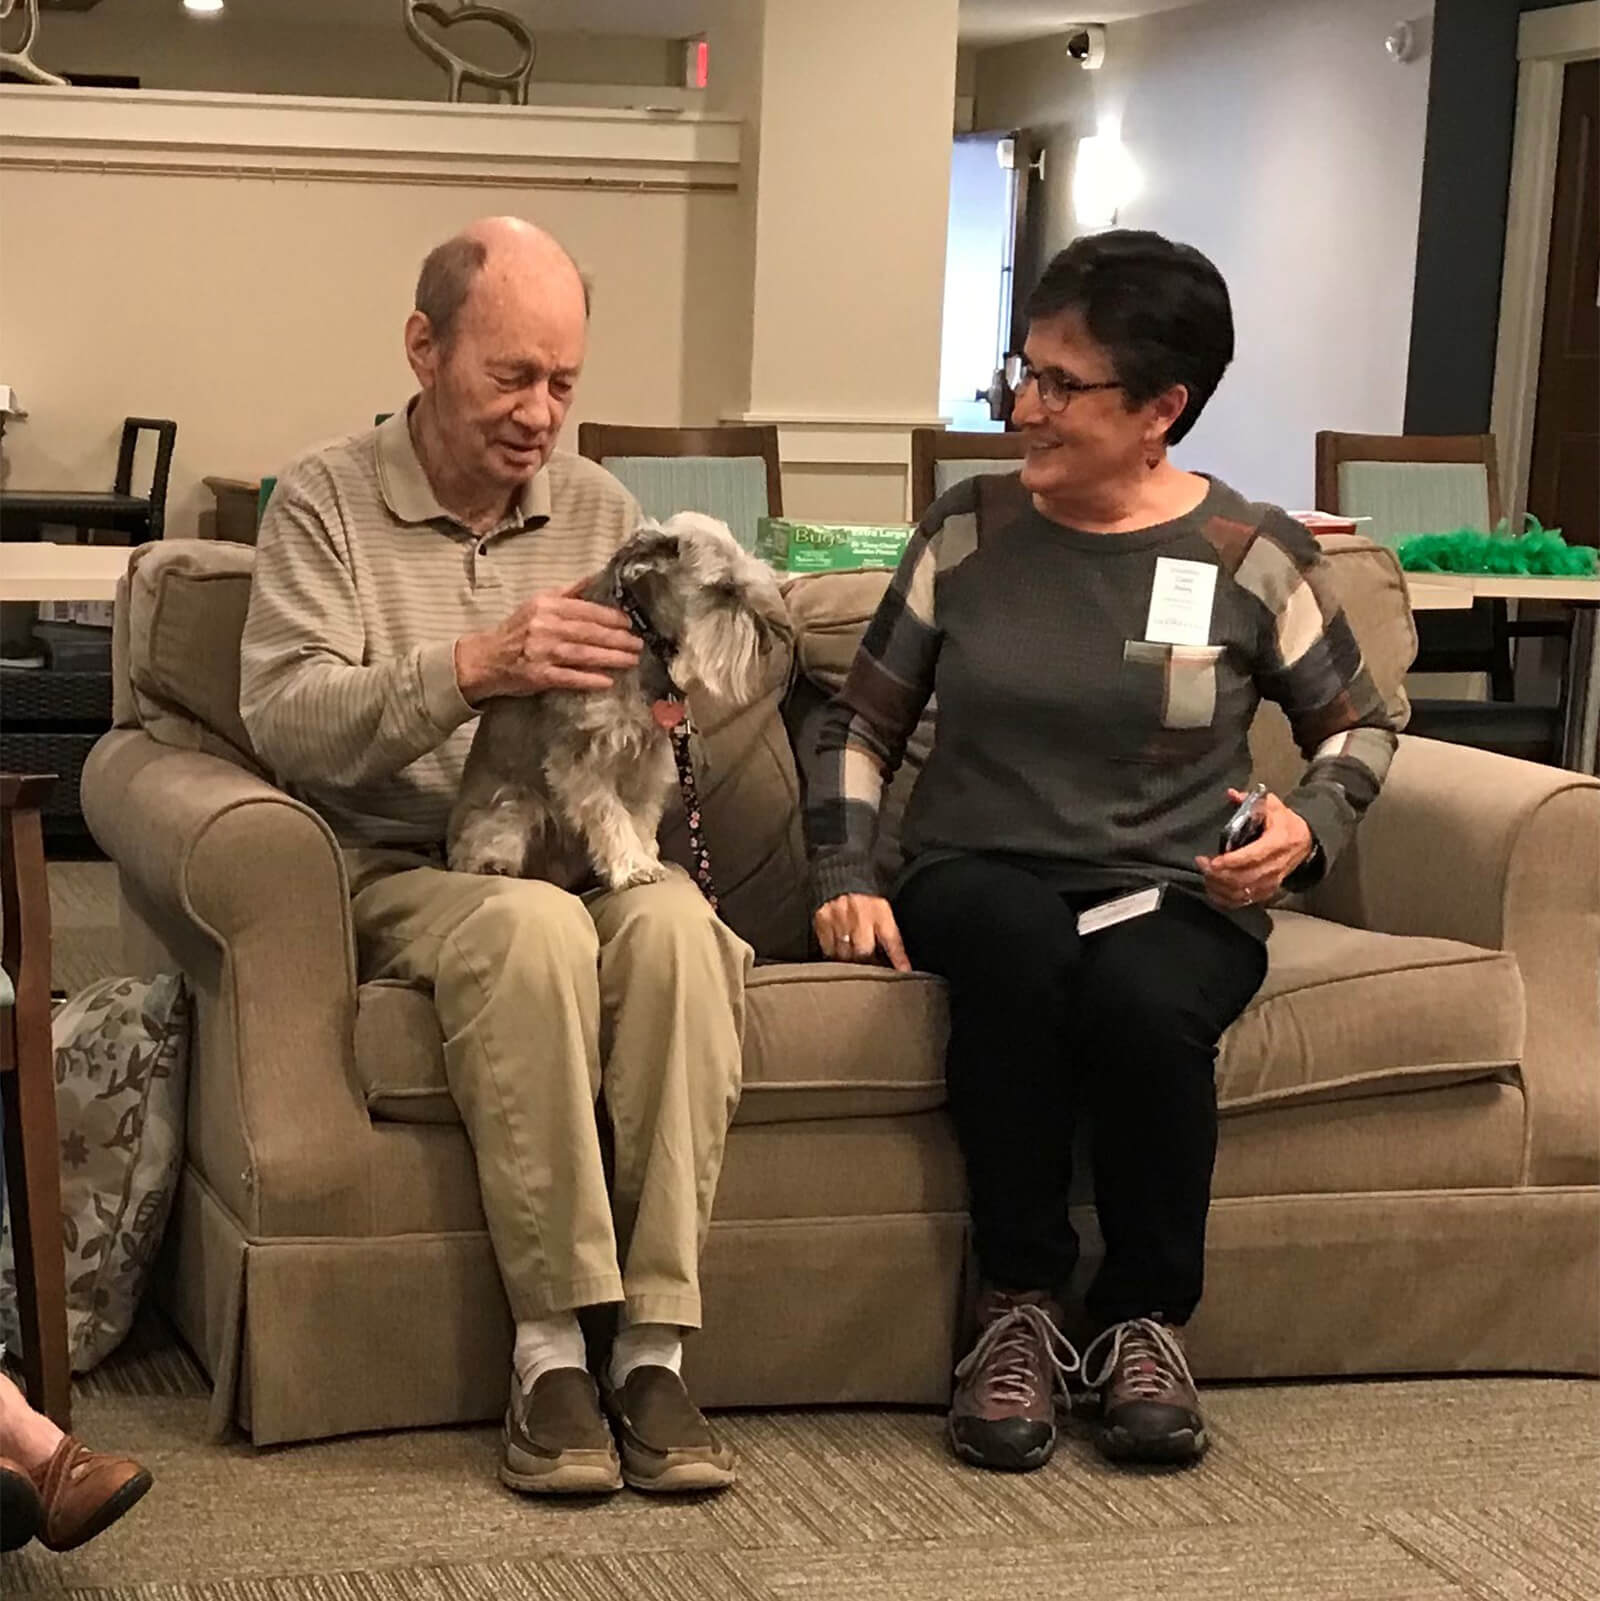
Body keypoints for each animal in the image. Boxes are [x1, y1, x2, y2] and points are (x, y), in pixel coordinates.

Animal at [448, 509, 784, 890]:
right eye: (725, 588)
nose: (768, 643)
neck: (644, 638)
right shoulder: (581, 756)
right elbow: (608, 812)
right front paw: (633, 865)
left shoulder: (651, 758)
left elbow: (641, 815)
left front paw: (647, 856)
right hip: (514, 806)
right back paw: (494, 864)